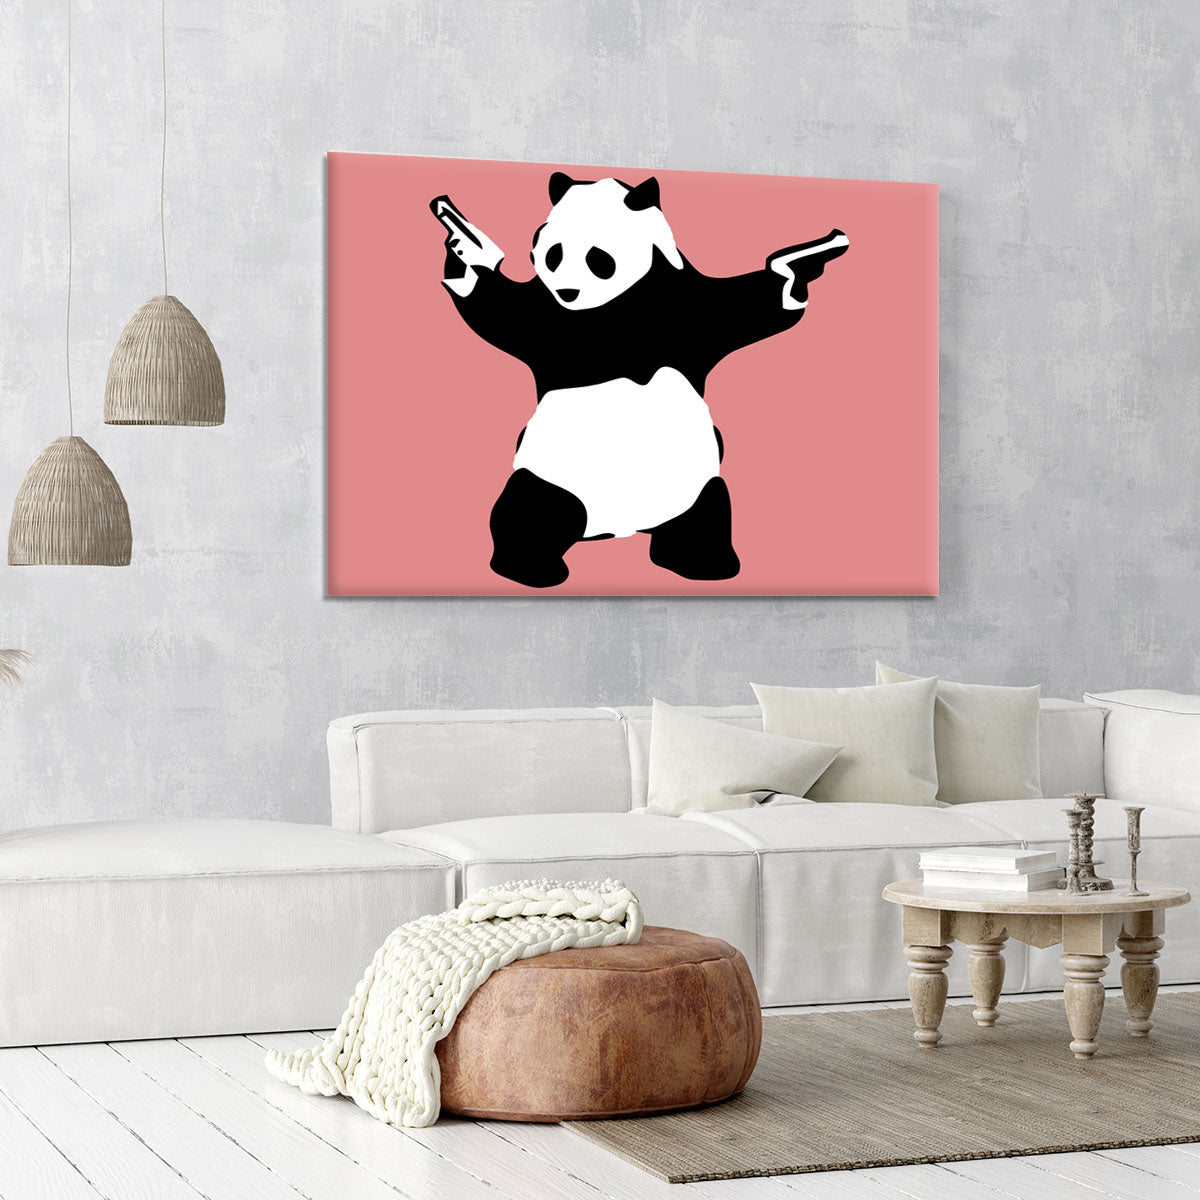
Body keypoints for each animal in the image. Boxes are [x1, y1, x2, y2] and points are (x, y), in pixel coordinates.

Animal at [432, 172, 848, 588]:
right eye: (554, 255)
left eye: (597, 257)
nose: (568, 291)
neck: (620, 304)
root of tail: (619, 529)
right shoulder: (548, 318)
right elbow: (500, 310)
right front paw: (468, 247)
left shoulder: (691, 303)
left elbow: (751, 305)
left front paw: (799, 265)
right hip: (552, 476)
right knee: (530, 511)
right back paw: (530, 568)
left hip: (694, 486)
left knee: (707, 515)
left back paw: (704, 563)